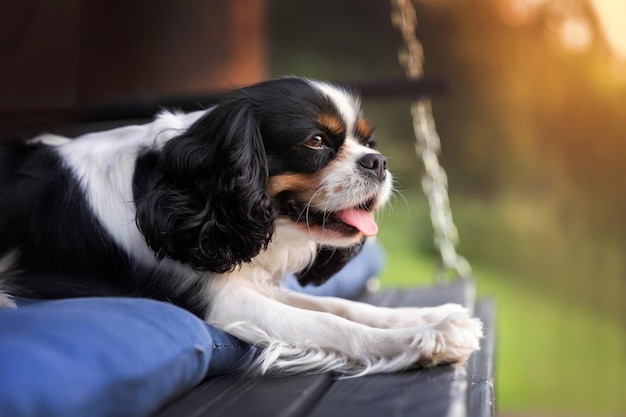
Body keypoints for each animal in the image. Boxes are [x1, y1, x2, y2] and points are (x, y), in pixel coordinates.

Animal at [0, 76, 482, 376]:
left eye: (367, 141)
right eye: (316, 141)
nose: (378, 162)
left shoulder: (251, 280)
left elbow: (343, 307)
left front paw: (427, 316)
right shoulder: (223, 303)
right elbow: (334, 326)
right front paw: (428, 338)